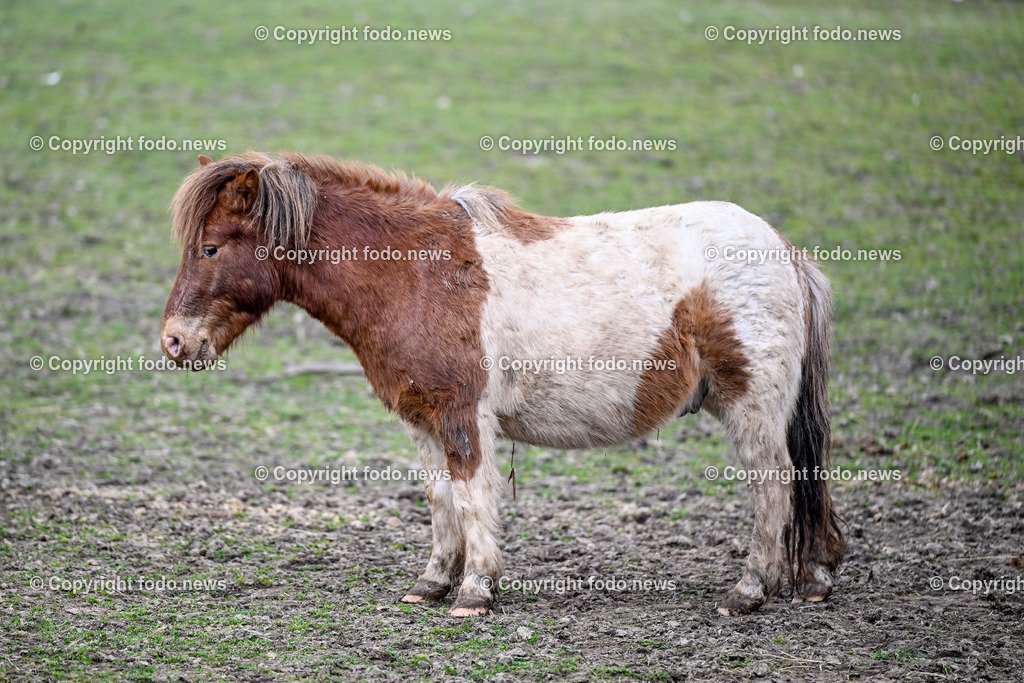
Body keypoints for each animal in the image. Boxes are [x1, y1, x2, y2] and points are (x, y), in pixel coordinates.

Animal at [161, 152, 846, 617]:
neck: (417, 273)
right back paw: (809, 582)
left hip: (752, 408)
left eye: (212, 247)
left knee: (774, 487)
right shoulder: (422, 419)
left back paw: (750, 590)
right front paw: (432, 584)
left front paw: (475, 591)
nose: (174, 342)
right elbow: (440, 501)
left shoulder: (464, 416)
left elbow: (471, 498)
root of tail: (785, 251)